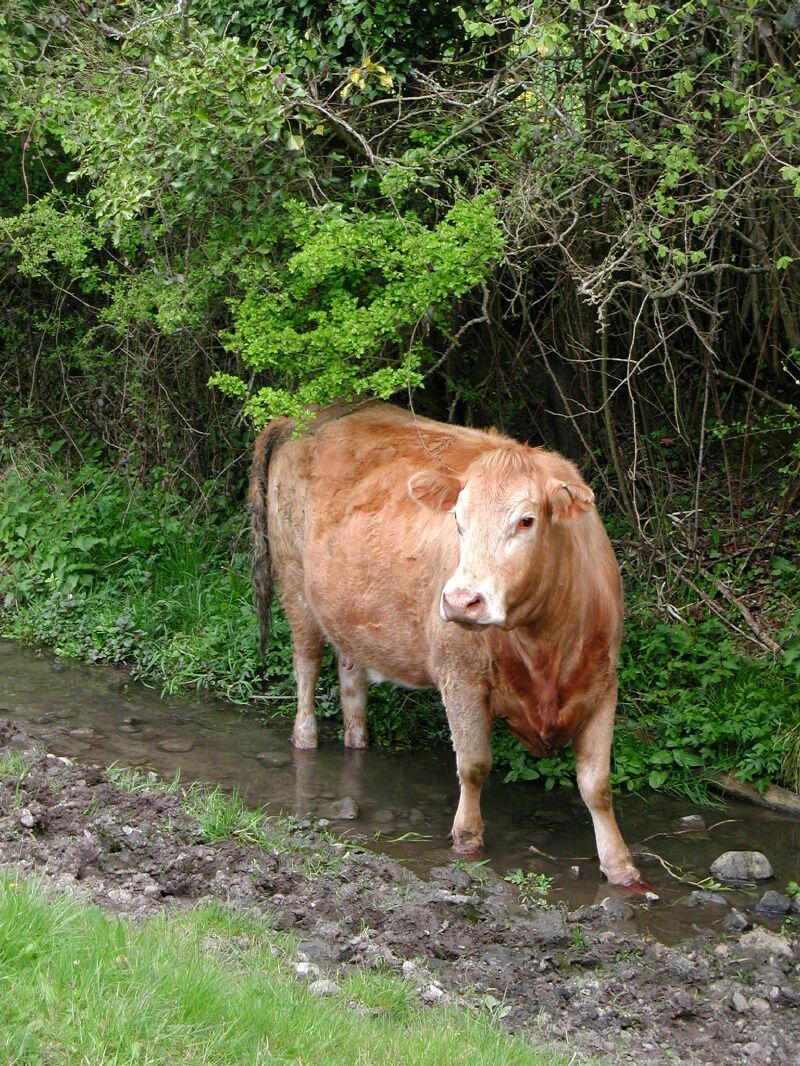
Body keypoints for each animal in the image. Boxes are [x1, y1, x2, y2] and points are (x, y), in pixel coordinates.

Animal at [250, 400, 644, 882]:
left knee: (351, 679)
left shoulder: (603, 683)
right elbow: (473, 765)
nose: (460, 600)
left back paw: (357, 741)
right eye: (457, 519)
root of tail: (308, 413)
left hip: (350, 612)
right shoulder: (460, 679)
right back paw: (305, 739)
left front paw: (620, 866)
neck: (544, 644)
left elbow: (597, 785)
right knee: (306, 666)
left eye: (526, 520)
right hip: (295, 586)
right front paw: (467, 840)